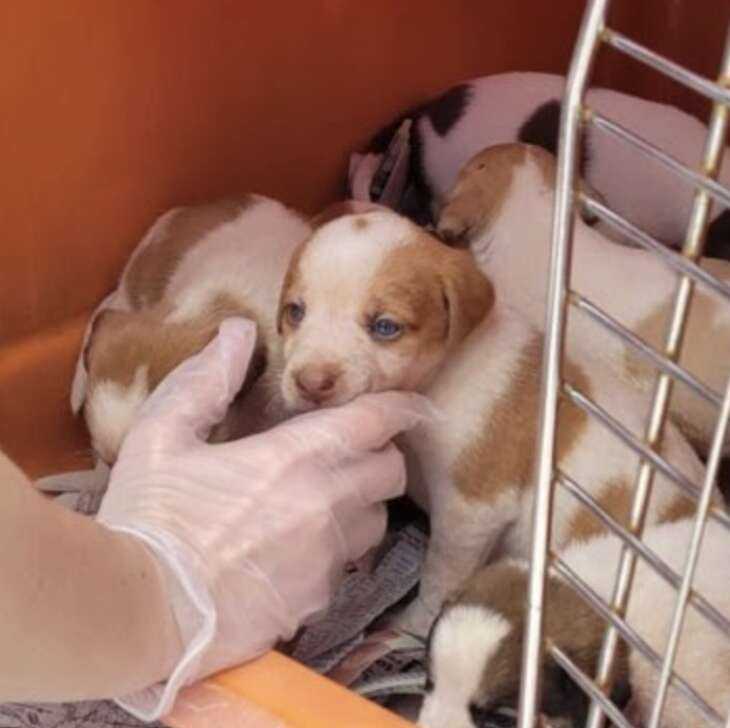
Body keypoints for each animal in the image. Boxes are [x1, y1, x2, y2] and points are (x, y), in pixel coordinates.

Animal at [276, 208, 704, 636]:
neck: (438, 378)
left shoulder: (472, 511)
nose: (310, 384)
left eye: (384, 327)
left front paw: (412, 626)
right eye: (295, 312)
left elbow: (440, 577)